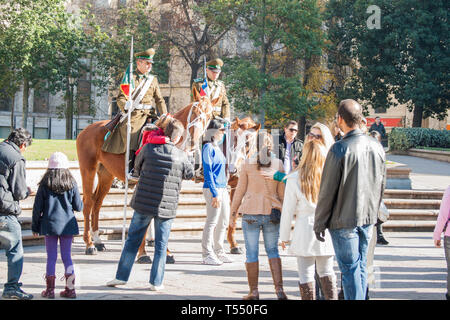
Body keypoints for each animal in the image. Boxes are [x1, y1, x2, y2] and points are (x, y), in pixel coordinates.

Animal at [76, 95, 215, 255]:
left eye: (209, 116)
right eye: (195, 113)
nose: (194, 141)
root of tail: (85, 130)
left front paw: (164, 250)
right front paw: (143, 252)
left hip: (106, 175)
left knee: (97, 203)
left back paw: (98, 240)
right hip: (88, 169)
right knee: (88, 203)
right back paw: (89, 244)